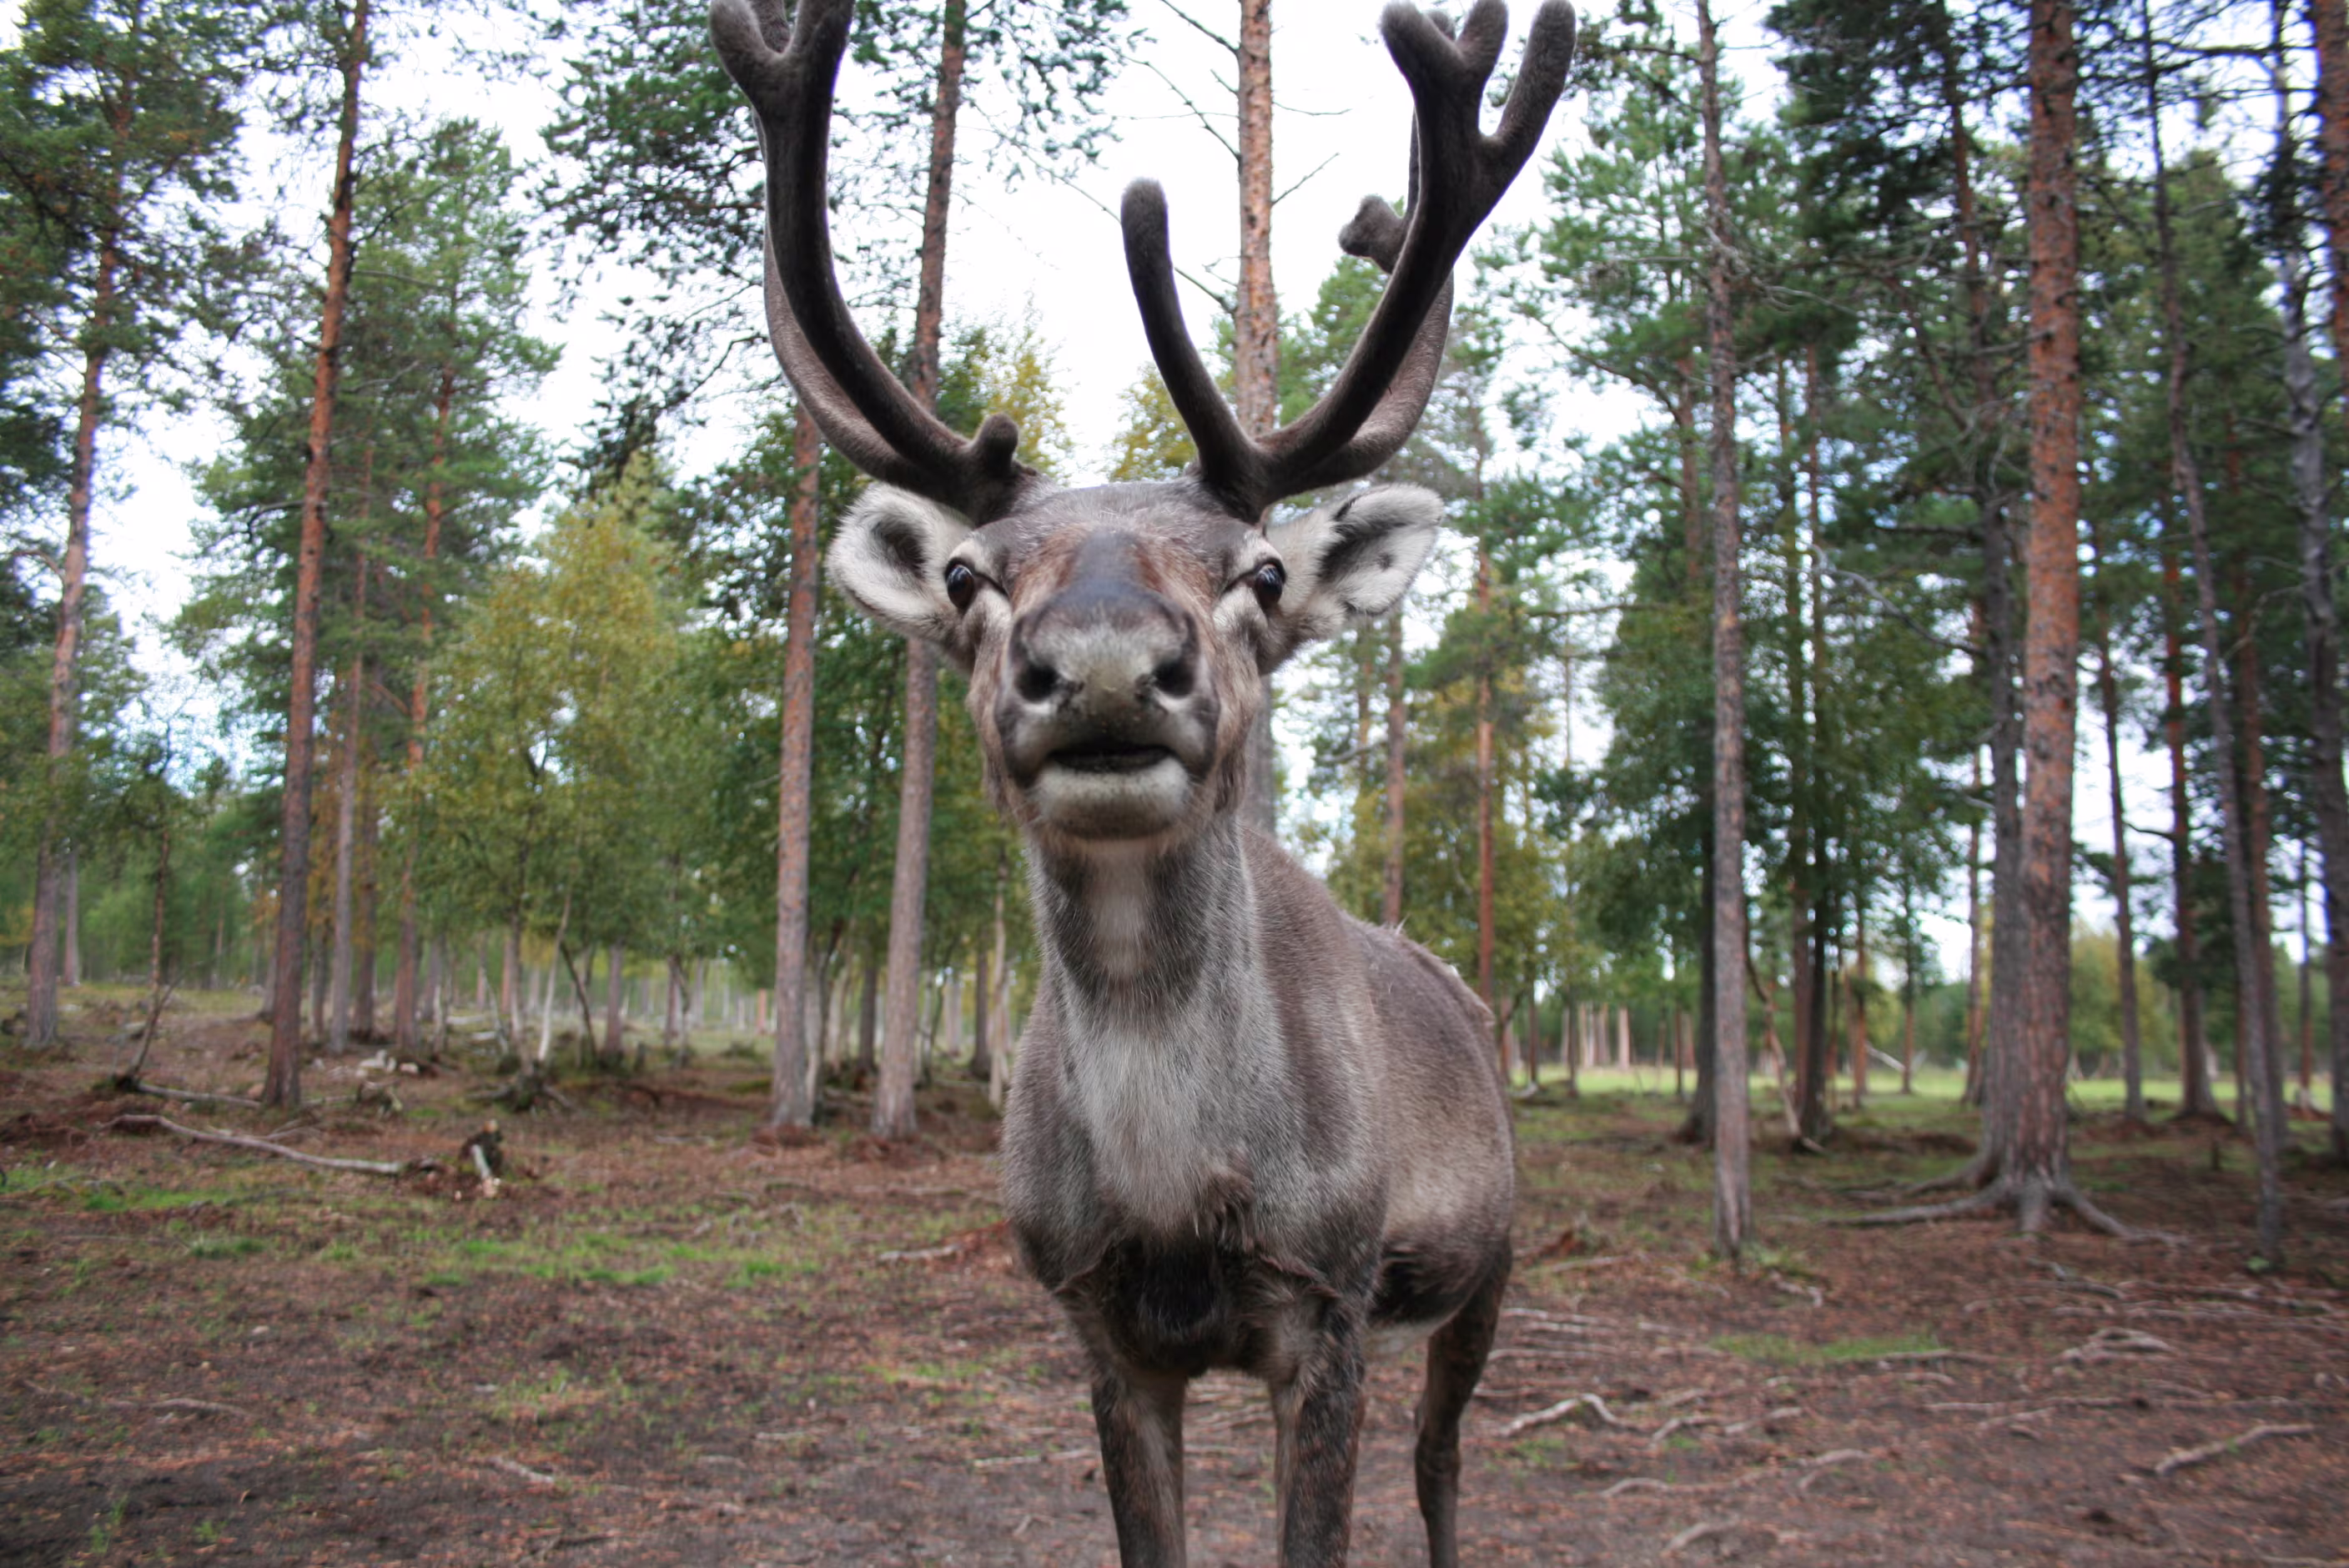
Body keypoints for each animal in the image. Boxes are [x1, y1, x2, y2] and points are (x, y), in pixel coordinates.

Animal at [709, 0, 1576, 1561]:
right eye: (967, 576)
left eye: (1264, 573)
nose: (1107, 667)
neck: (1180, 1203)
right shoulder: (1098, 1324)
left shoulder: (1330, 1304)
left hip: (1489, 1262)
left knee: (1443, 1461)